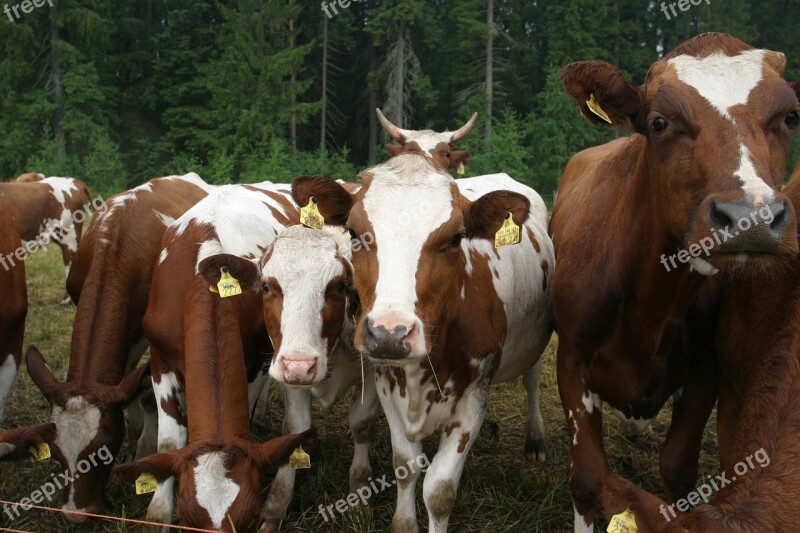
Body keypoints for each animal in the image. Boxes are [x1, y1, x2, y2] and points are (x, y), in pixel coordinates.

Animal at [22, 174, 214, 520]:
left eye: (104, 451)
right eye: (56, 453)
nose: (76, 513)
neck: (115, 245)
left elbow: (136, 388)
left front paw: (140, 442)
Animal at [203, 224, 384, 532]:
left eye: (340, 286)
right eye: (266, 286)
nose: (301, 366)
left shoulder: (373, 370)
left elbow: (361, 423)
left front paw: (360, 490)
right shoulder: (290, 374)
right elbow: (295, 428)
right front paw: (276, 504)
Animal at [294, 155, 556, 532]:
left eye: (456, 238)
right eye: (355, 234)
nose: (390, 333)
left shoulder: (473, 398)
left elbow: (440, 490)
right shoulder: (387, 385)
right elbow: (405, 466)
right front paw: (404, 521)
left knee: (532, 379)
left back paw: (535, 439)